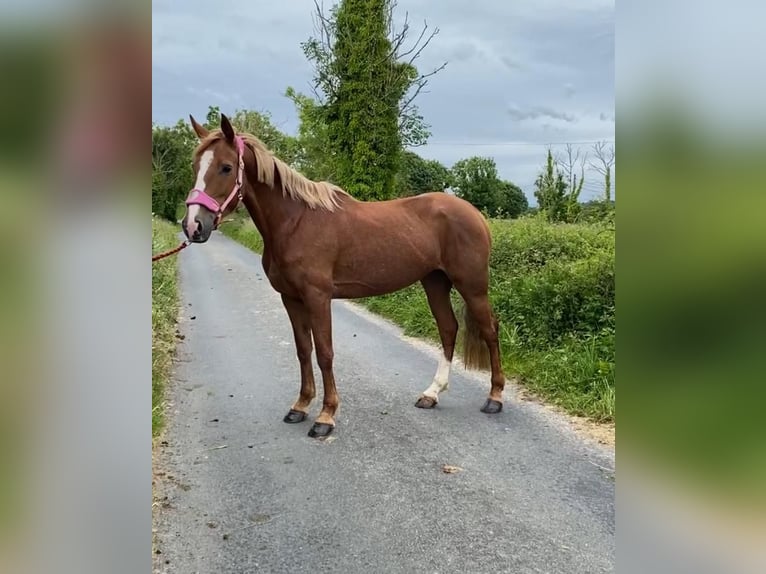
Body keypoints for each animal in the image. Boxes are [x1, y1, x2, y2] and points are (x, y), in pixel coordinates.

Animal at [182, 113, 508, 440]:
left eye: (226, 167)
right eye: (195, 165)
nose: (193, 225)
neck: (295, 222)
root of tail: (476, 214)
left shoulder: (318, 297)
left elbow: (325, 353)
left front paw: (325, 416)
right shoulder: (291, 298)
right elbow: (304, 350)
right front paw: (300, 406)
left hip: (472, 286)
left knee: (490, 329)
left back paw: (494, 398)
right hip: (435, 282)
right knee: (448, 329)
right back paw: (432, 393)